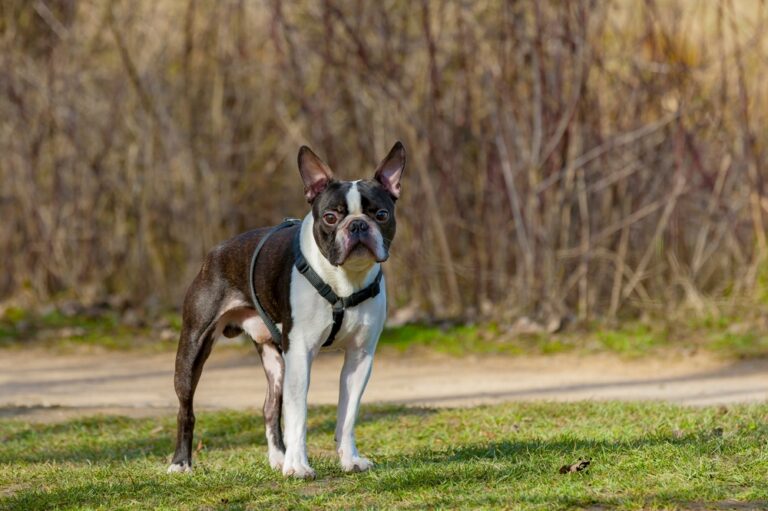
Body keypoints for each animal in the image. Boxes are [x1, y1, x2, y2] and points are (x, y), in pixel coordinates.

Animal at [167, 141, 404, 480]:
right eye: (330, 217)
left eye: (381, 214)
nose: (358, 224)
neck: (344, 281)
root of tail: (216, 251)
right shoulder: (301, 353)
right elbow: (298, 414)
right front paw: (299, 466)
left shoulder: (360, 357)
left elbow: (347, 414)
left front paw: (349, 460)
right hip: (193, 347)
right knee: (186, 408)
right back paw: (181, 462)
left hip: (275, 360)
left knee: (269, 407)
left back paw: (278, 458)